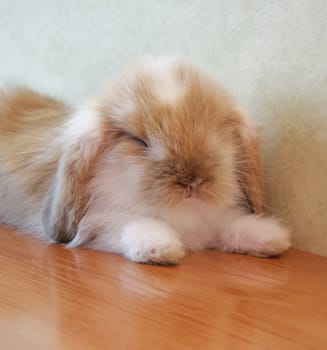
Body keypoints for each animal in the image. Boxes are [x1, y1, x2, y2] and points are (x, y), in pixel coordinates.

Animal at [0, 57, 292, 264]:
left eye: (217, 129)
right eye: (138, 141)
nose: (192, 183)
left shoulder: (213, 221)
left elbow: (228, 225)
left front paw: (270, 238)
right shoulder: (99, 223)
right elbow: (130, 223)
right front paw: (160, 247)